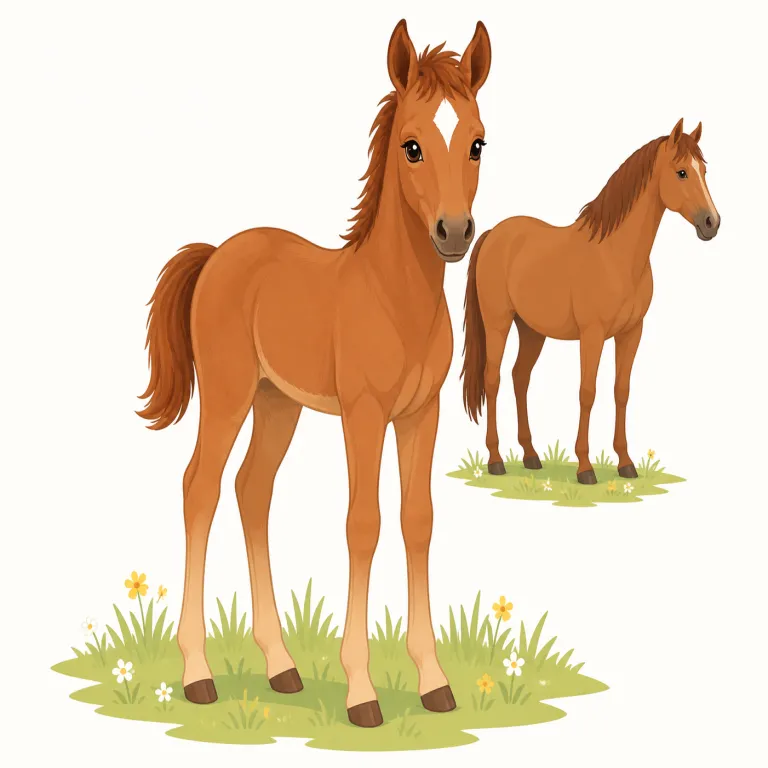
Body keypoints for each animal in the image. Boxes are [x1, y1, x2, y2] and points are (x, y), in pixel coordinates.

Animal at [138, 19, 491, 728]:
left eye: (477, 142)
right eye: (412, 146)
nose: (454, 232)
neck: (394, 297)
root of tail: (217, 254)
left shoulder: (422, 413)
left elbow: (417, 521)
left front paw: (434, 683)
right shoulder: (363, 413)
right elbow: (363, 524)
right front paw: (362, 693)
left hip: (278, 402)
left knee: (252, 490)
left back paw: (282, 667)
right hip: (229, 395)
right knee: (200, 488)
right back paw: (198, 675)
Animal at [462, 119, 719, 484]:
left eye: (704, 171)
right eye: (682, 172)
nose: (712, 223)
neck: (616, 256)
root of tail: (492, 235)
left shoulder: (631, 333)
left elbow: (621, 391)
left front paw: (626, 463)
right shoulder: (592, 334)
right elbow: (588, 392)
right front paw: (585, 468)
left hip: (532, 331)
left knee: (519, 378)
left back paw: (531, 456)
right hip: (498, 324)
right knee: (493, 379)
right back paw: (496, 460)